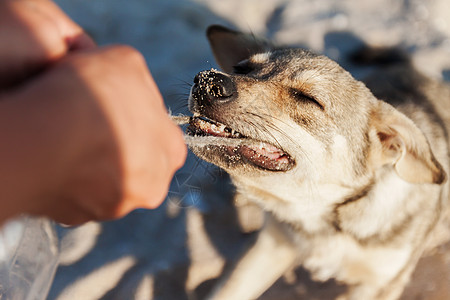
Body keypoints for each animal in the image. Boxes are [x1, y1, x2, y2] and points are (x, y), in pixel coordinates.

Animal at [173, 25, 450, 300]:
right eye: (241, 69)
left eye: (308, 98)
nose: (208, 81)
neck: (320, 216)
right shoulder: (270, 245)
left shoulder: (381, 283)